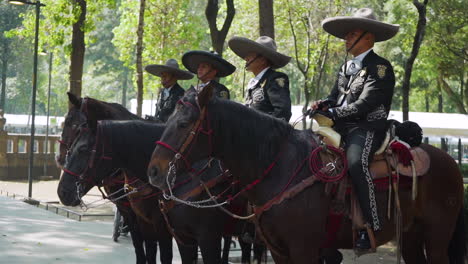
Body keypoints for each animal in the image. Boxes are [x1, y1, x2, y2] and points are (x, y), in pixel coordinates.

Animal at [57, 120, 264, 264]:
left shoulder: (196, 235)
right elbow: (144, 252)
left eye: (83, 149)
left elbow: (163, 257)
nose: (62, 192)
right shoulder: (149, 225)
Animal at [147, 85, 468, 262]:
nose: (154, 171)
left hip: (437, 236)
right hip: (412, 235)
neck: (279, 167)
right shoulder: (278, 251)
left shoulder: (302, 249)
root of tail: (450, 161)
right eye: (169, 118)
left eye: (184, 123)